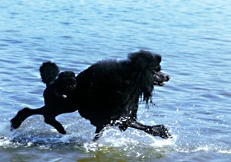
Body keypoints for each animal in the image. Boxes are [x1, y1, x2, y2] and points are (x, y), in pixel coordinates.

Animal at [10, 50, 171, 140]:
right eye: (156, 71)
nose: (168, 76)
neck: (129, 83)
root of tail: (51, 82)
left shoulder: (114, 119)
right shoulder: (116, 117)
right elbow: (143, 127)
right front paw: (162, 131)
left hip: (64, 105)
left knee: (36, 112)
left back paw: (19, 122)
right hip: (63, 104)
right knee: (44, 115)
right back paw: (58, 128)